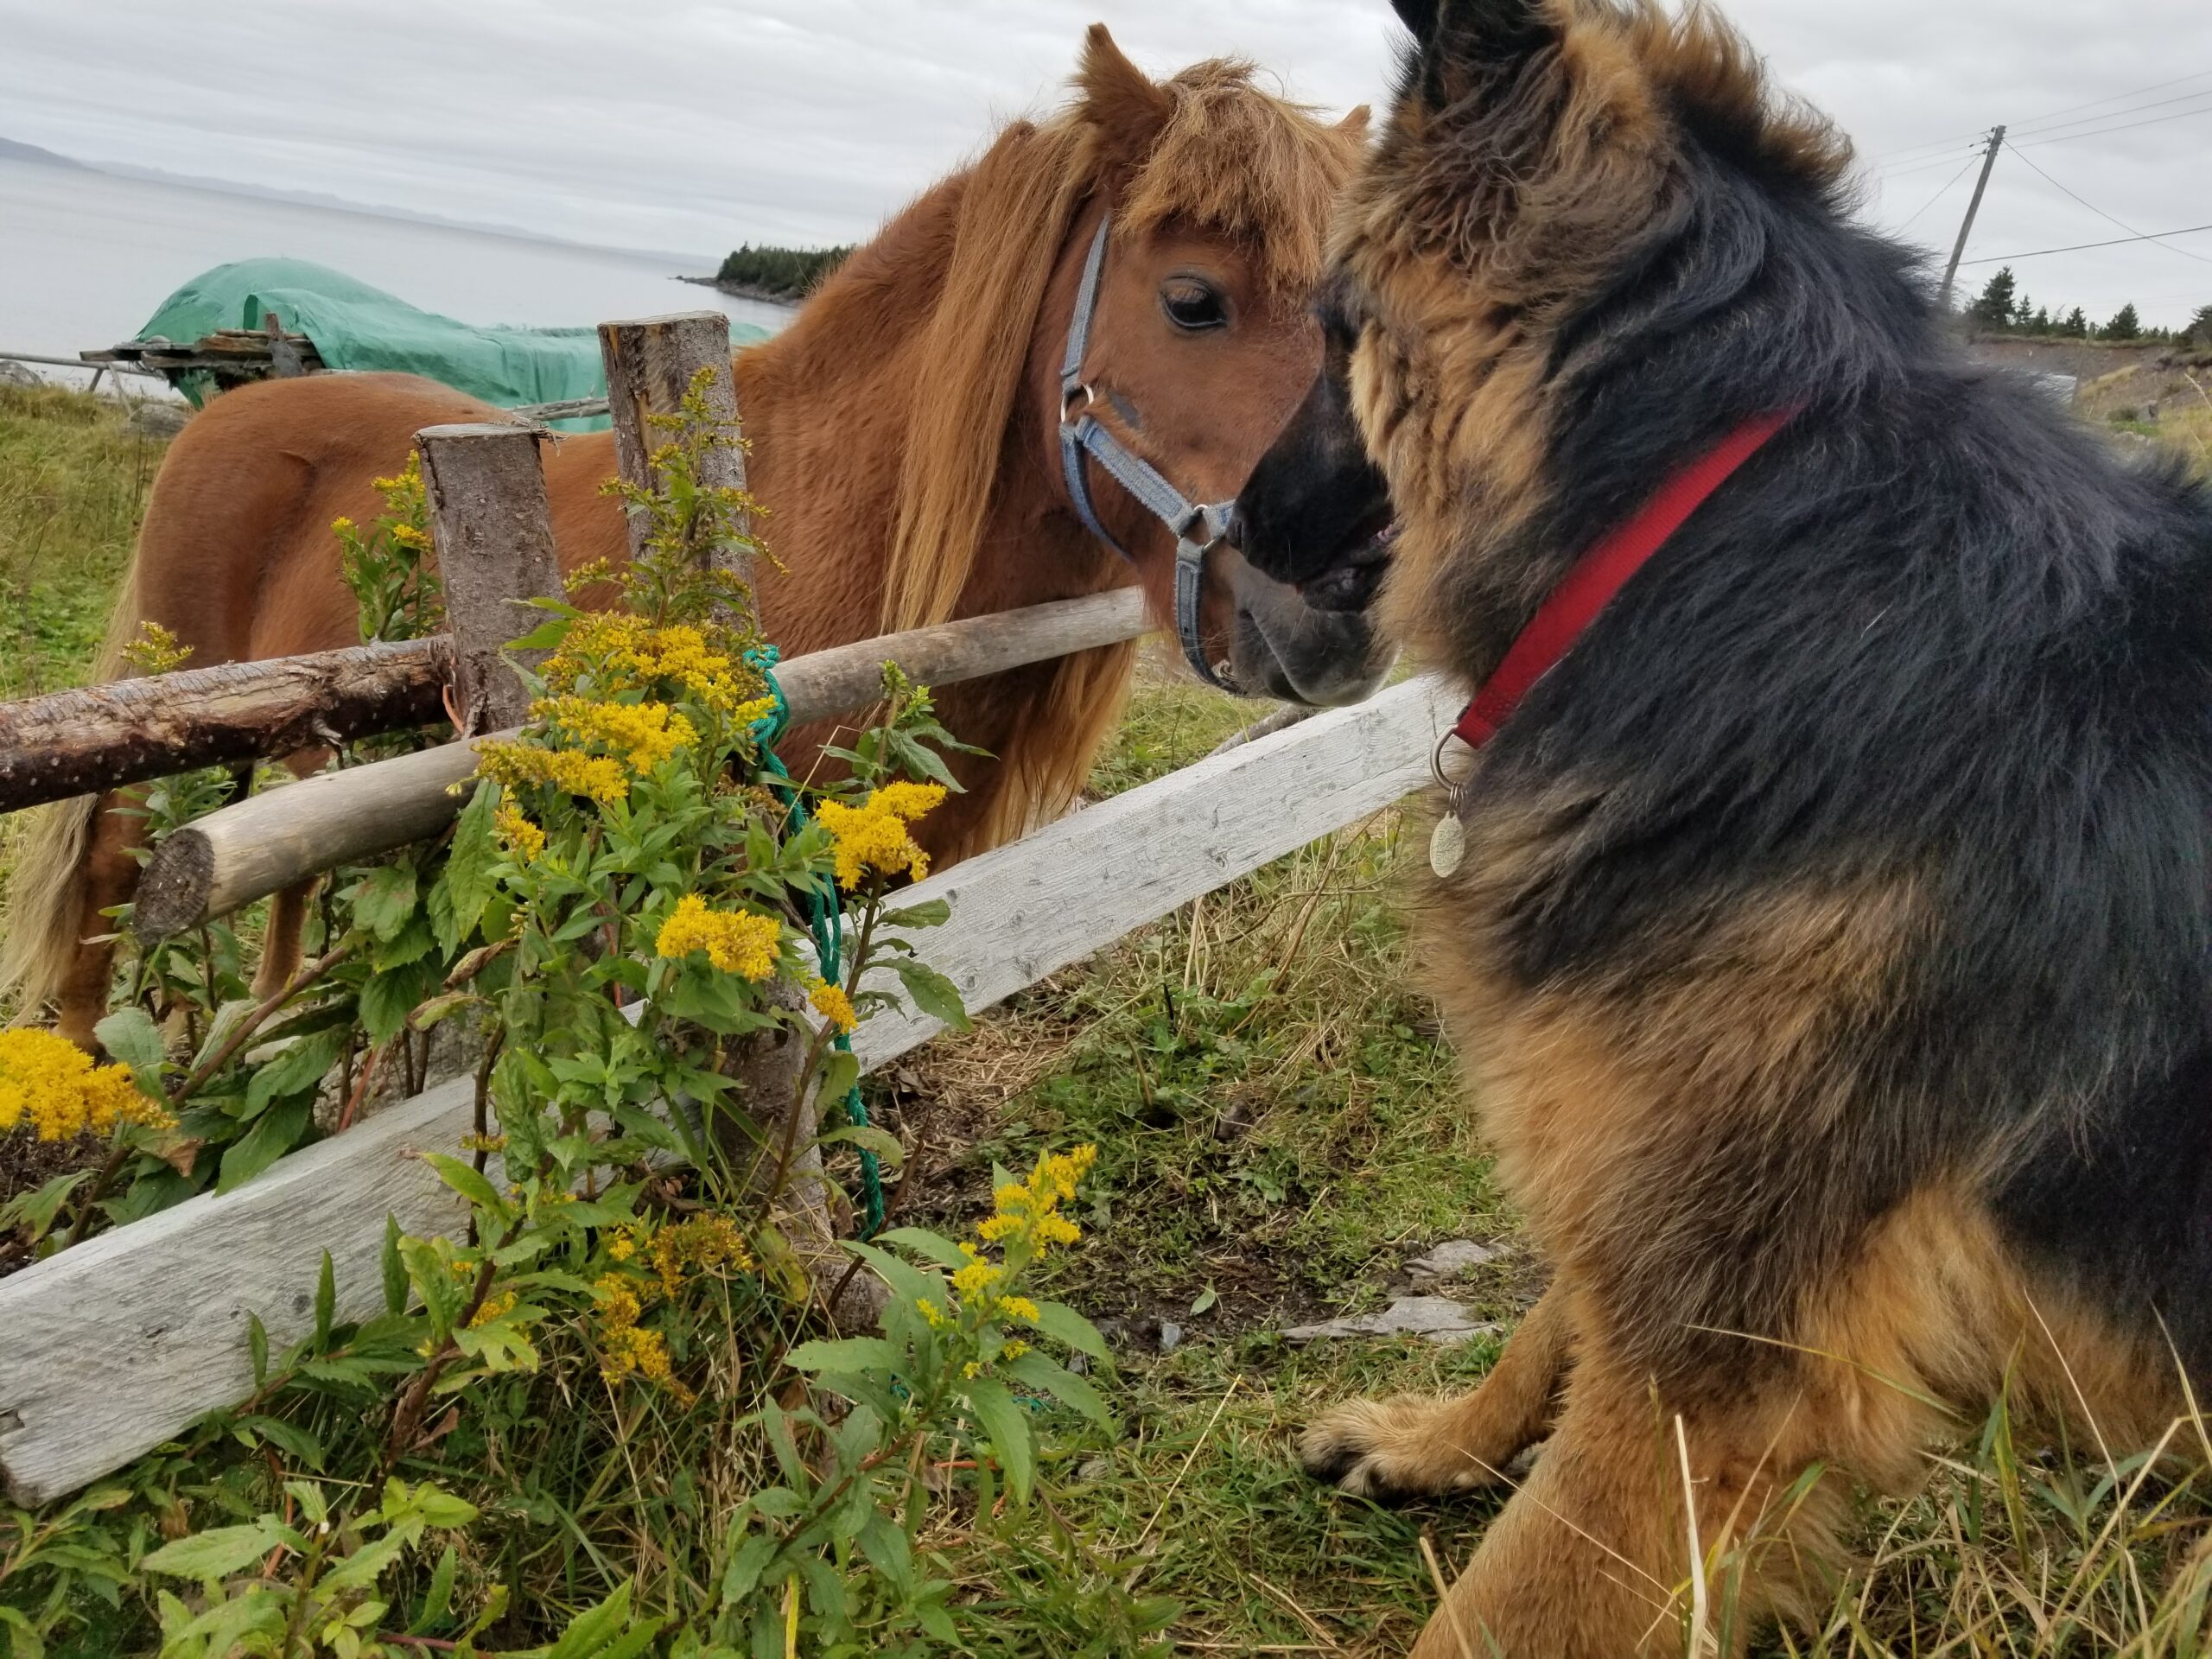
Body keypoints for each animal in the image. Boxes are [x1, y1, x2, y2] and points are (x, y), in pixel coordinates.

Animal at [1238, 0, 2212, 1654]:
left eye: (1329, 324)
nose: (1237, 521)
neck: (1712, 537)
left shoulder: (1721, 1358)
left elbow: (1515, 1595)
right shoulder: (1657, 1133)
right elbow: (1561, 1303)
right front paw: (1448, 1439)